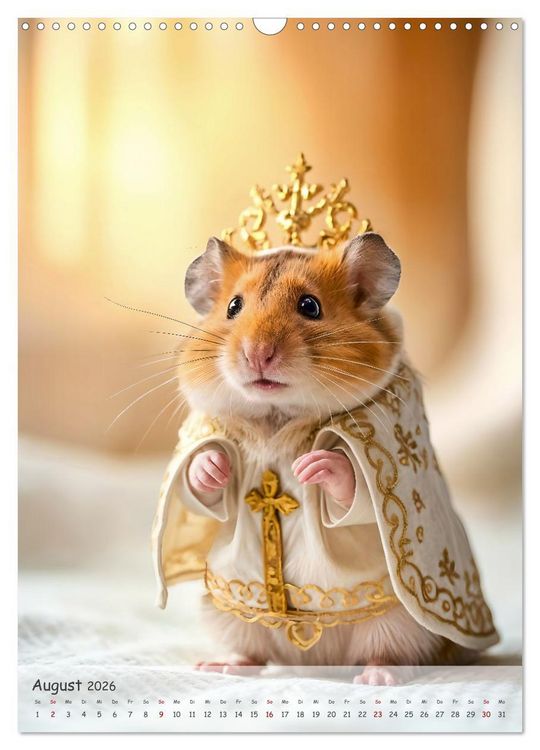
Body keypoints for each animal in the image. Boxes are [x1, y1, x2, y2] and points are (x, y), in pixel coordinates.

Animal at [165, 234, 481, 684]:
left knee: (393, 651)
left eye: (310, 306)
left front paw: (312, 466)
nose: (257, 354)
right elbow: (203, 488)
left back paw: (377, 677)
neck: (278, 415)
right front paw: (212, 465)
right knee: (252, 649)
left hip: (399, 621)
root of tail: (311, 661)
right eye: (233, 307)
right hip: (229, 614)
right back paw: (223, 665)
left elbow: (354, 487)